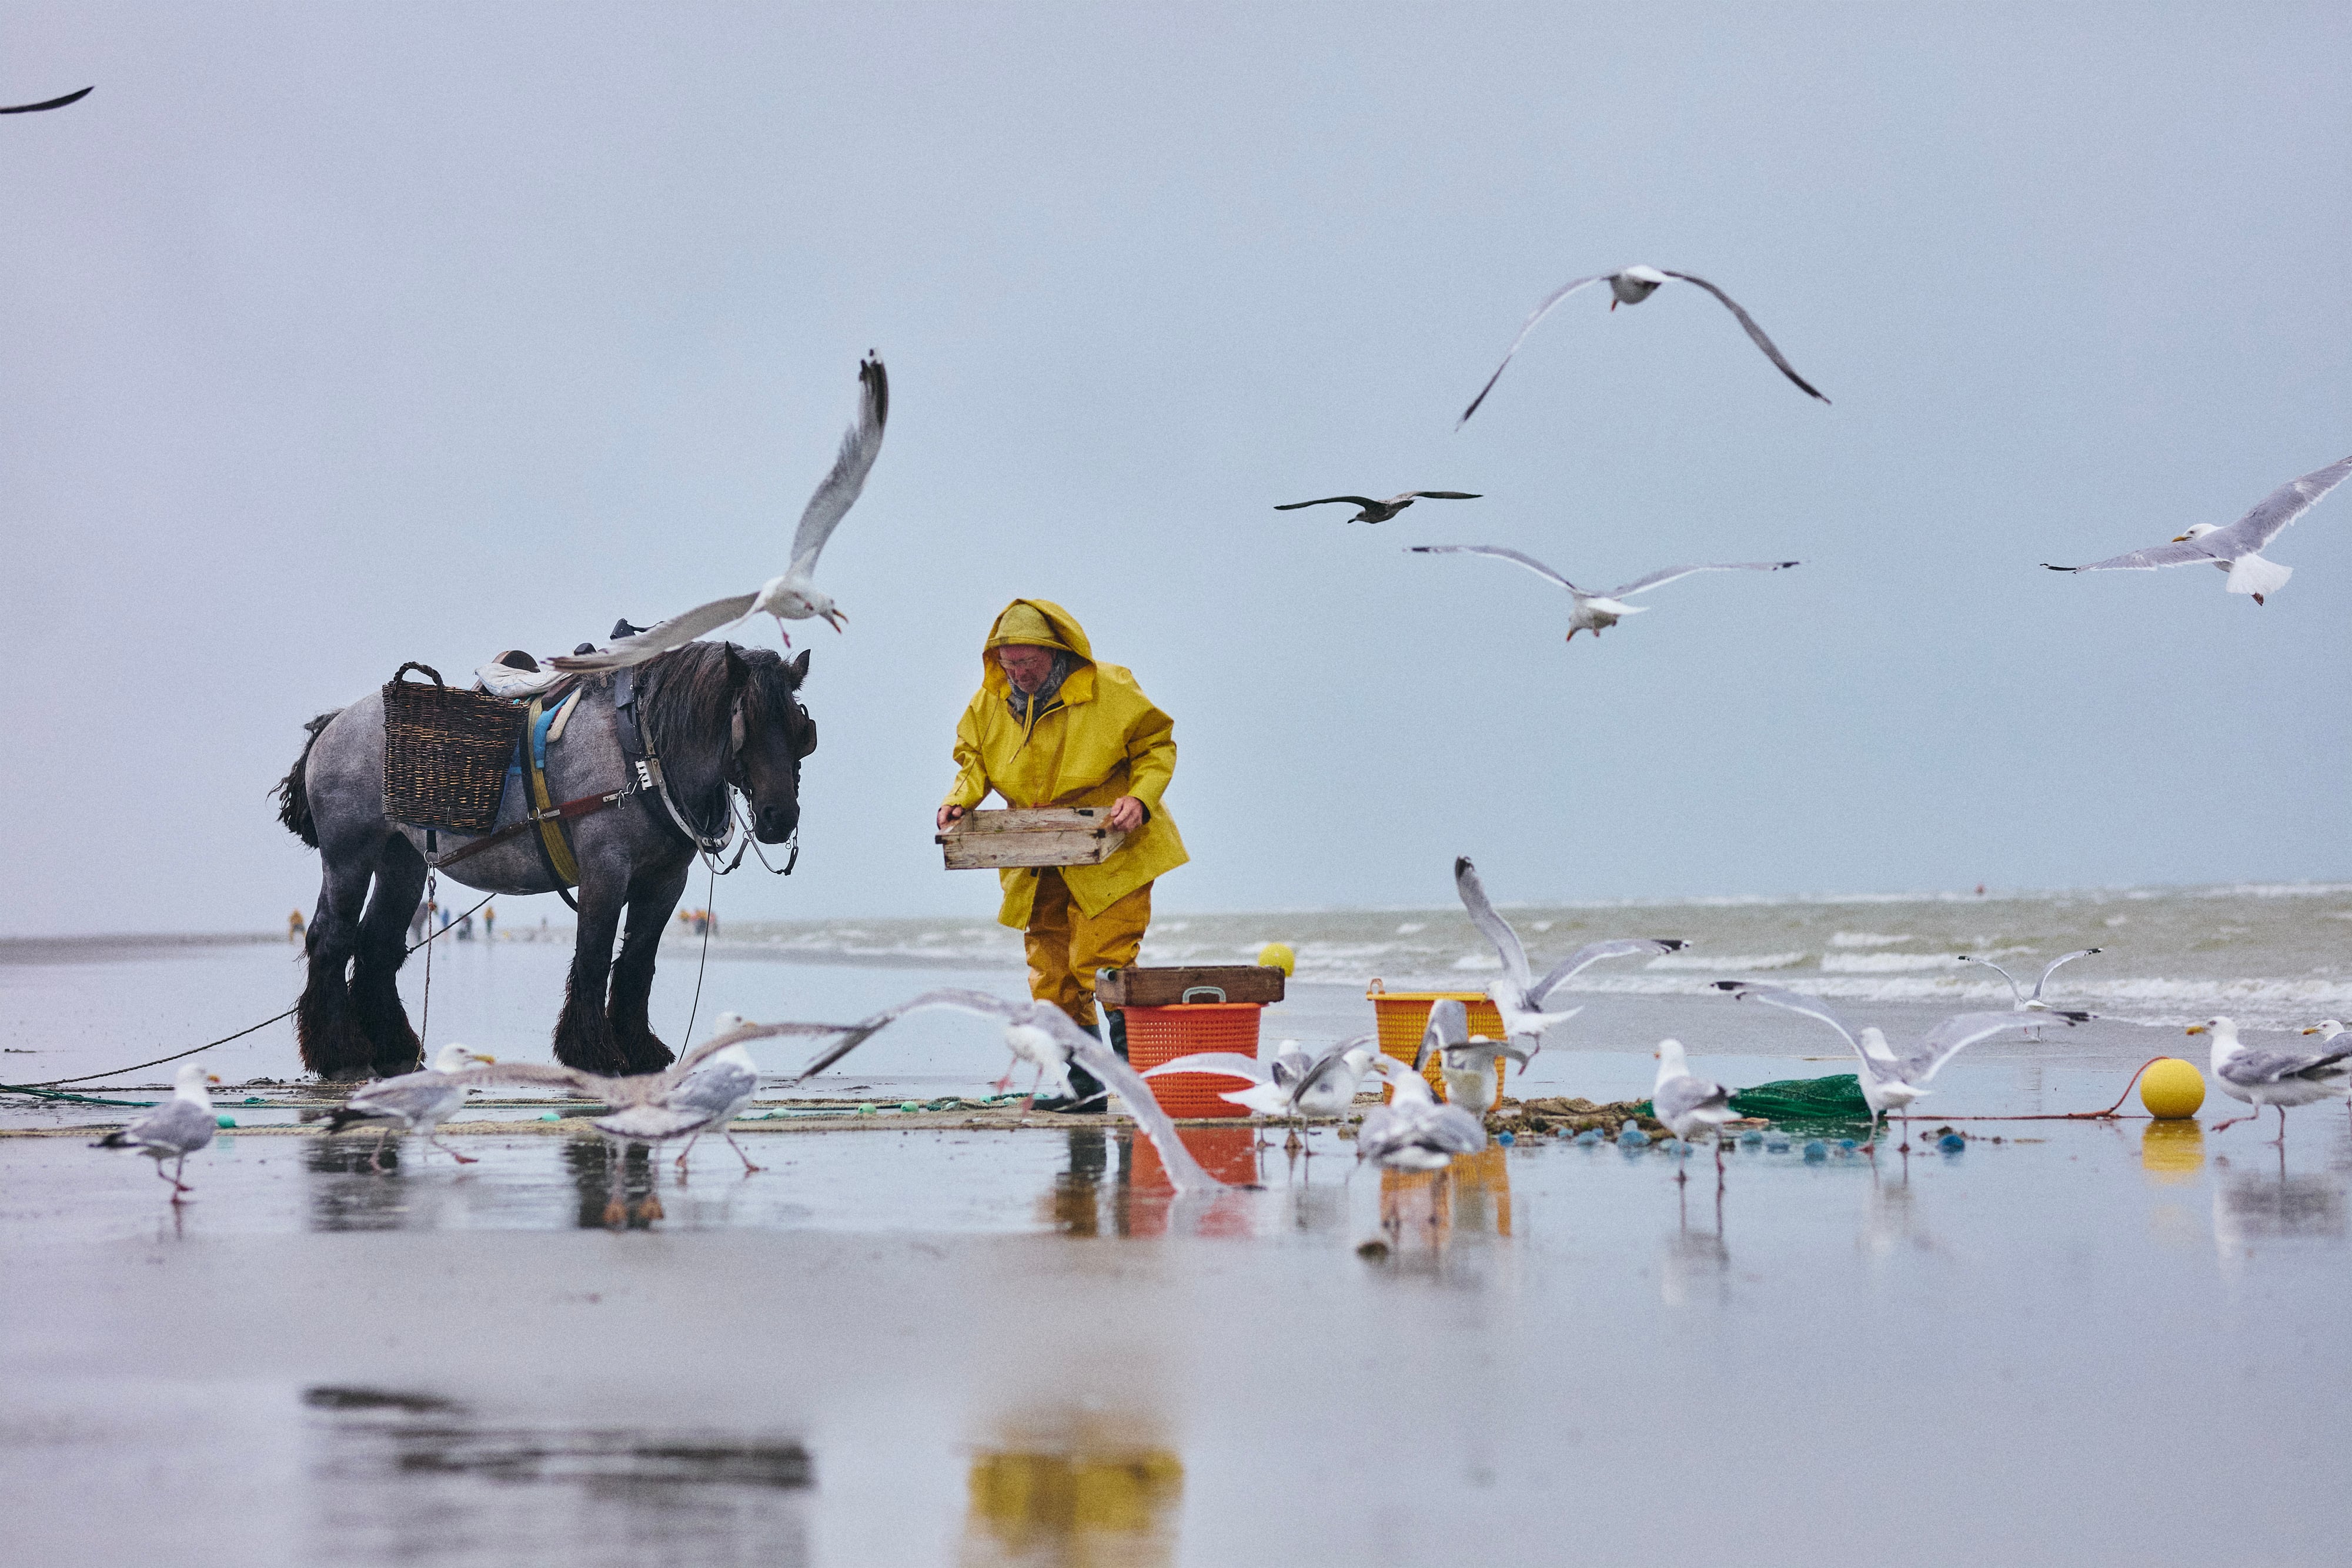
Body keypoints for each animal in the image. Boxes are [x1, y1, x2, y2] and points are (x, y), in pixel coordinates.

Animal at [276, 648, 818, 1081]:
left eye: (800, 730)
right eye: (746, 721)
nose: (780, 816)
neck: (640, 749)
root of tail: (334, 723)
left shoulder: (665, 882)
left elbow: (637, 964)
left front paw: (638, 1049)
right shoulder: (605, 870)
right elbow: (594, 957)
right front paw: (593, 1052)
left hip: (401, 860)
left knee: (376, 946)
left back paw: (393, 1050)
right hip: (350, 855)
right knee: (331, 938)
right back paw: (340, 1053)